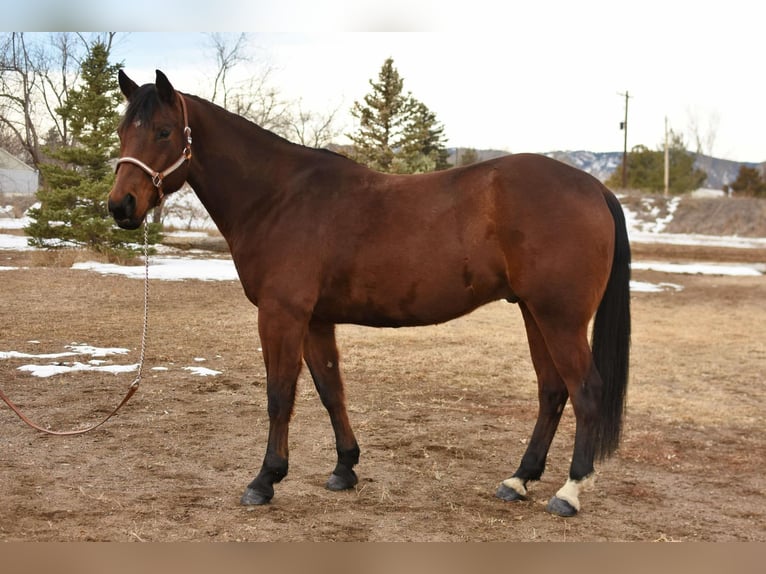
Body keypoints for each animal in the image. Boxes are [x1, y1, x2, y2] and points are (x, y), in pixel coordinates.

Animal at [109, 70, 636, 520]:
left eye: (163, 132)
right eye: (120, 131)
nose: (121, 206)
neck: (278, 197)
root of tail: (595, 188)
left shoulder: (282, 315)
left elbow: (280, 394)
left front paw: (265, 480)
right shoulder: (316, 320)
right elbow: (330, 390)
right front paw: (345, 468)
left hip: (559, 317)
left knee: (585, 390)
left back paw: (569, 491)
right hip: (533, 312)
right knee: (552, 391)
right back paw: (519, 480)